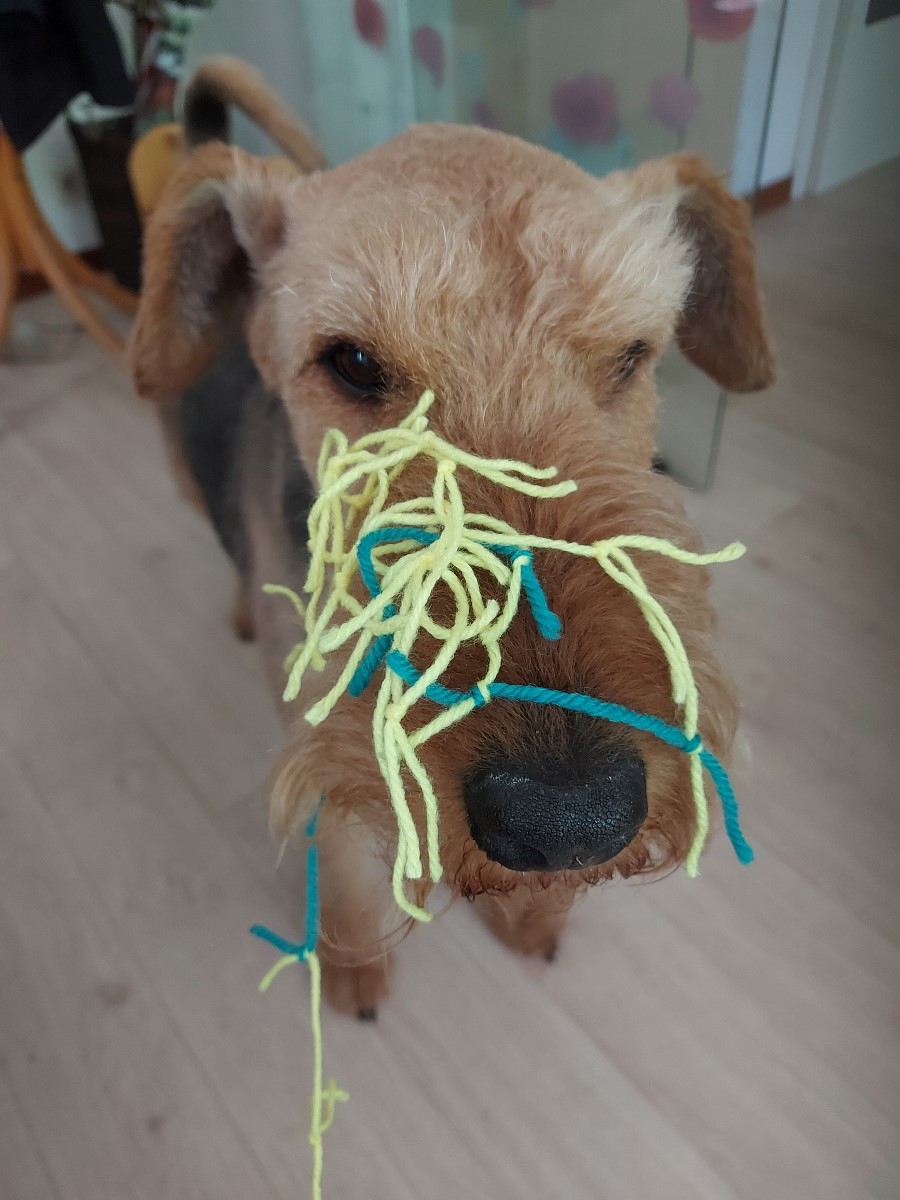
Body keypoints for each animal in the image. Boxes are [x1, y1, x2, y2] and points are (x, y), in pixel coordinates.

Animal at [130, 57, 774, 1018]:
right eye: (353, 363)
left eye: (631, 356)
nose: (567, 814)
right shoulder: (326, 736)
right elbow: (345, 863)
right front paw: (353, 966)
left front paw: (533, 916)